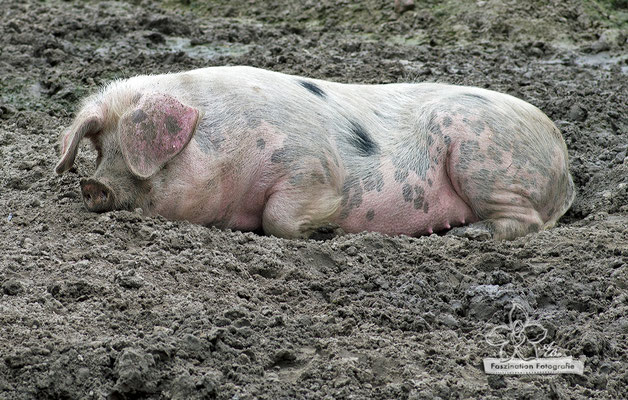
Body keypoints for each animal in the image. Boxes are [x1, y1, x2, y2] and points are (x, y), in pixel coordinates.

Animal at [54, 66, 576, 241]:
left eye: (136, 152)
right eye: (100, 149)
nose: (92, 185)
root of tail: (563, 161)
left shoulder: (313, 167)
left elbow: (279, 218)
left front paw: (327, 232)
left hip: (483, 157)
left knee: (524, 222)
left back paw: (462, 235)